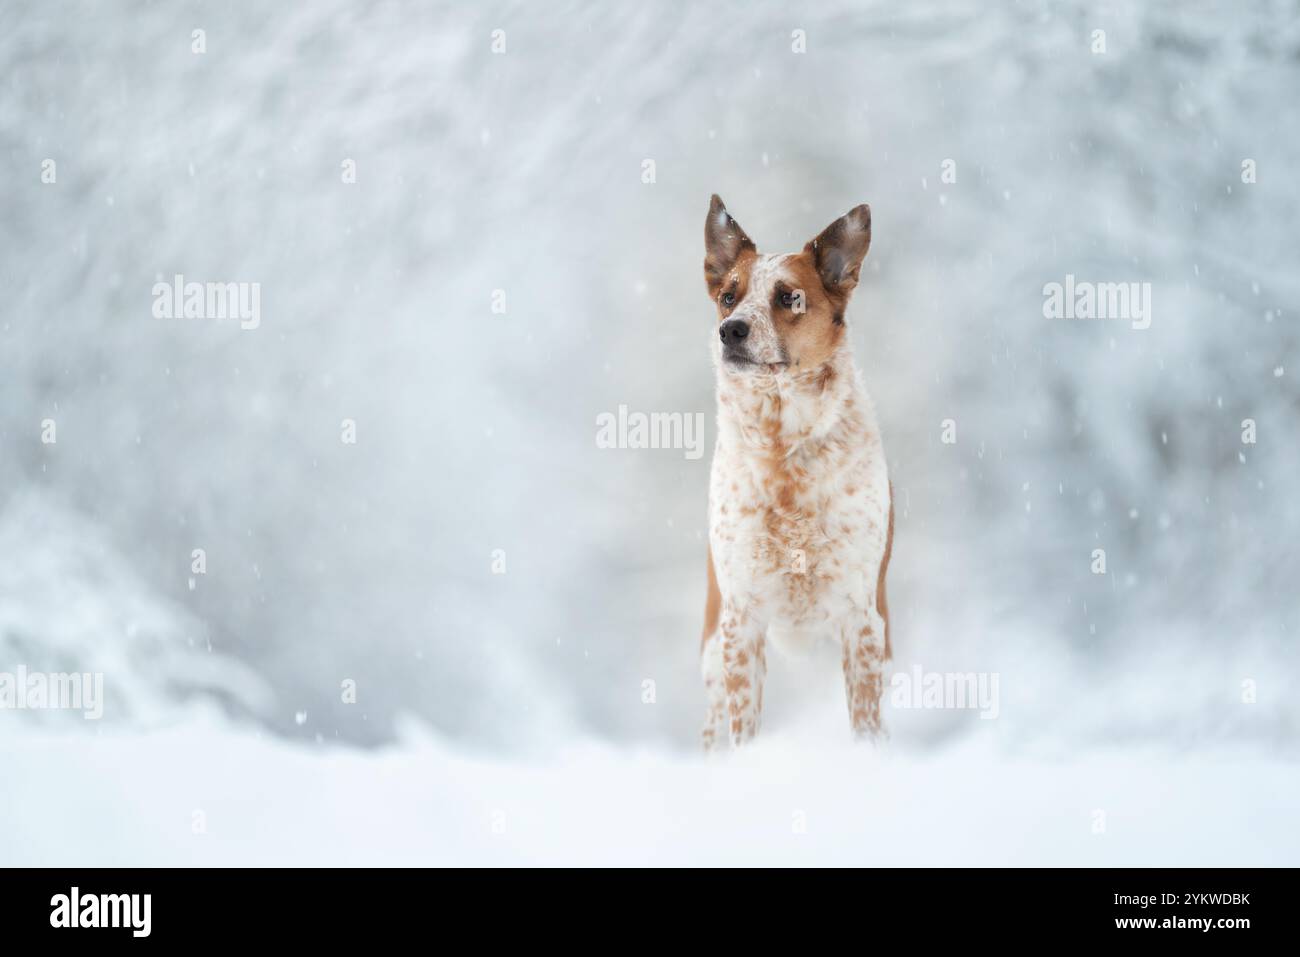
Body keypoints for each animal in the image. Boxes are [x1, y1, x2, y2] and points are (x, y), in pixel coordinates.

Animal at [702, 195, 894, 748]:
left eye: (789, 298)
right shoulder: (740, 620)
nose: (730, 330)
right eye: (728, 297)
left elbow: (866, 721)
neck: (783, 447)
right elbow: (743, 727)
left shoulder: (860, 617)